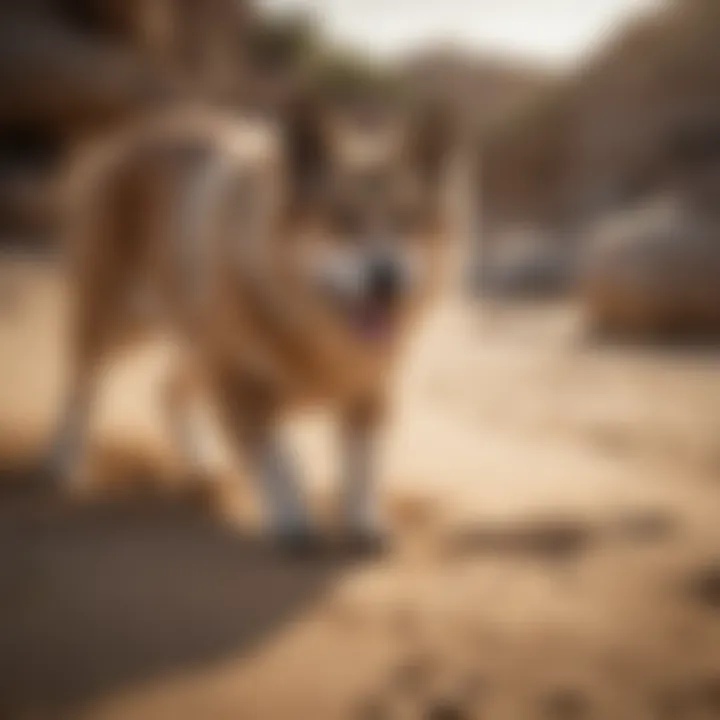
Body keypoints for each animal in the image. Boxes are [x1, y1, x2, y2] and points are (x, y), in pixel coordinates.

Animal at [49, 101, 450, 552]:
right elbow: (280, 462)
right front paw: (293, 520)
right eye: (341, 220)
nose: (388, 278)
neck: (310, 328)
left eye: (408, 220)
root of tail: (126, 137)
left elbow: (362, 466)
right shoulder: (240, 388)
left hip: (197, 340)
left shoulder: (370, 391)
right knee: (82, 384)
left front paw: (362, 522)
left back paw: (199, 466)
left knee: (167, 390)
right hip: (115, 318)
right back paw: (63, 460)